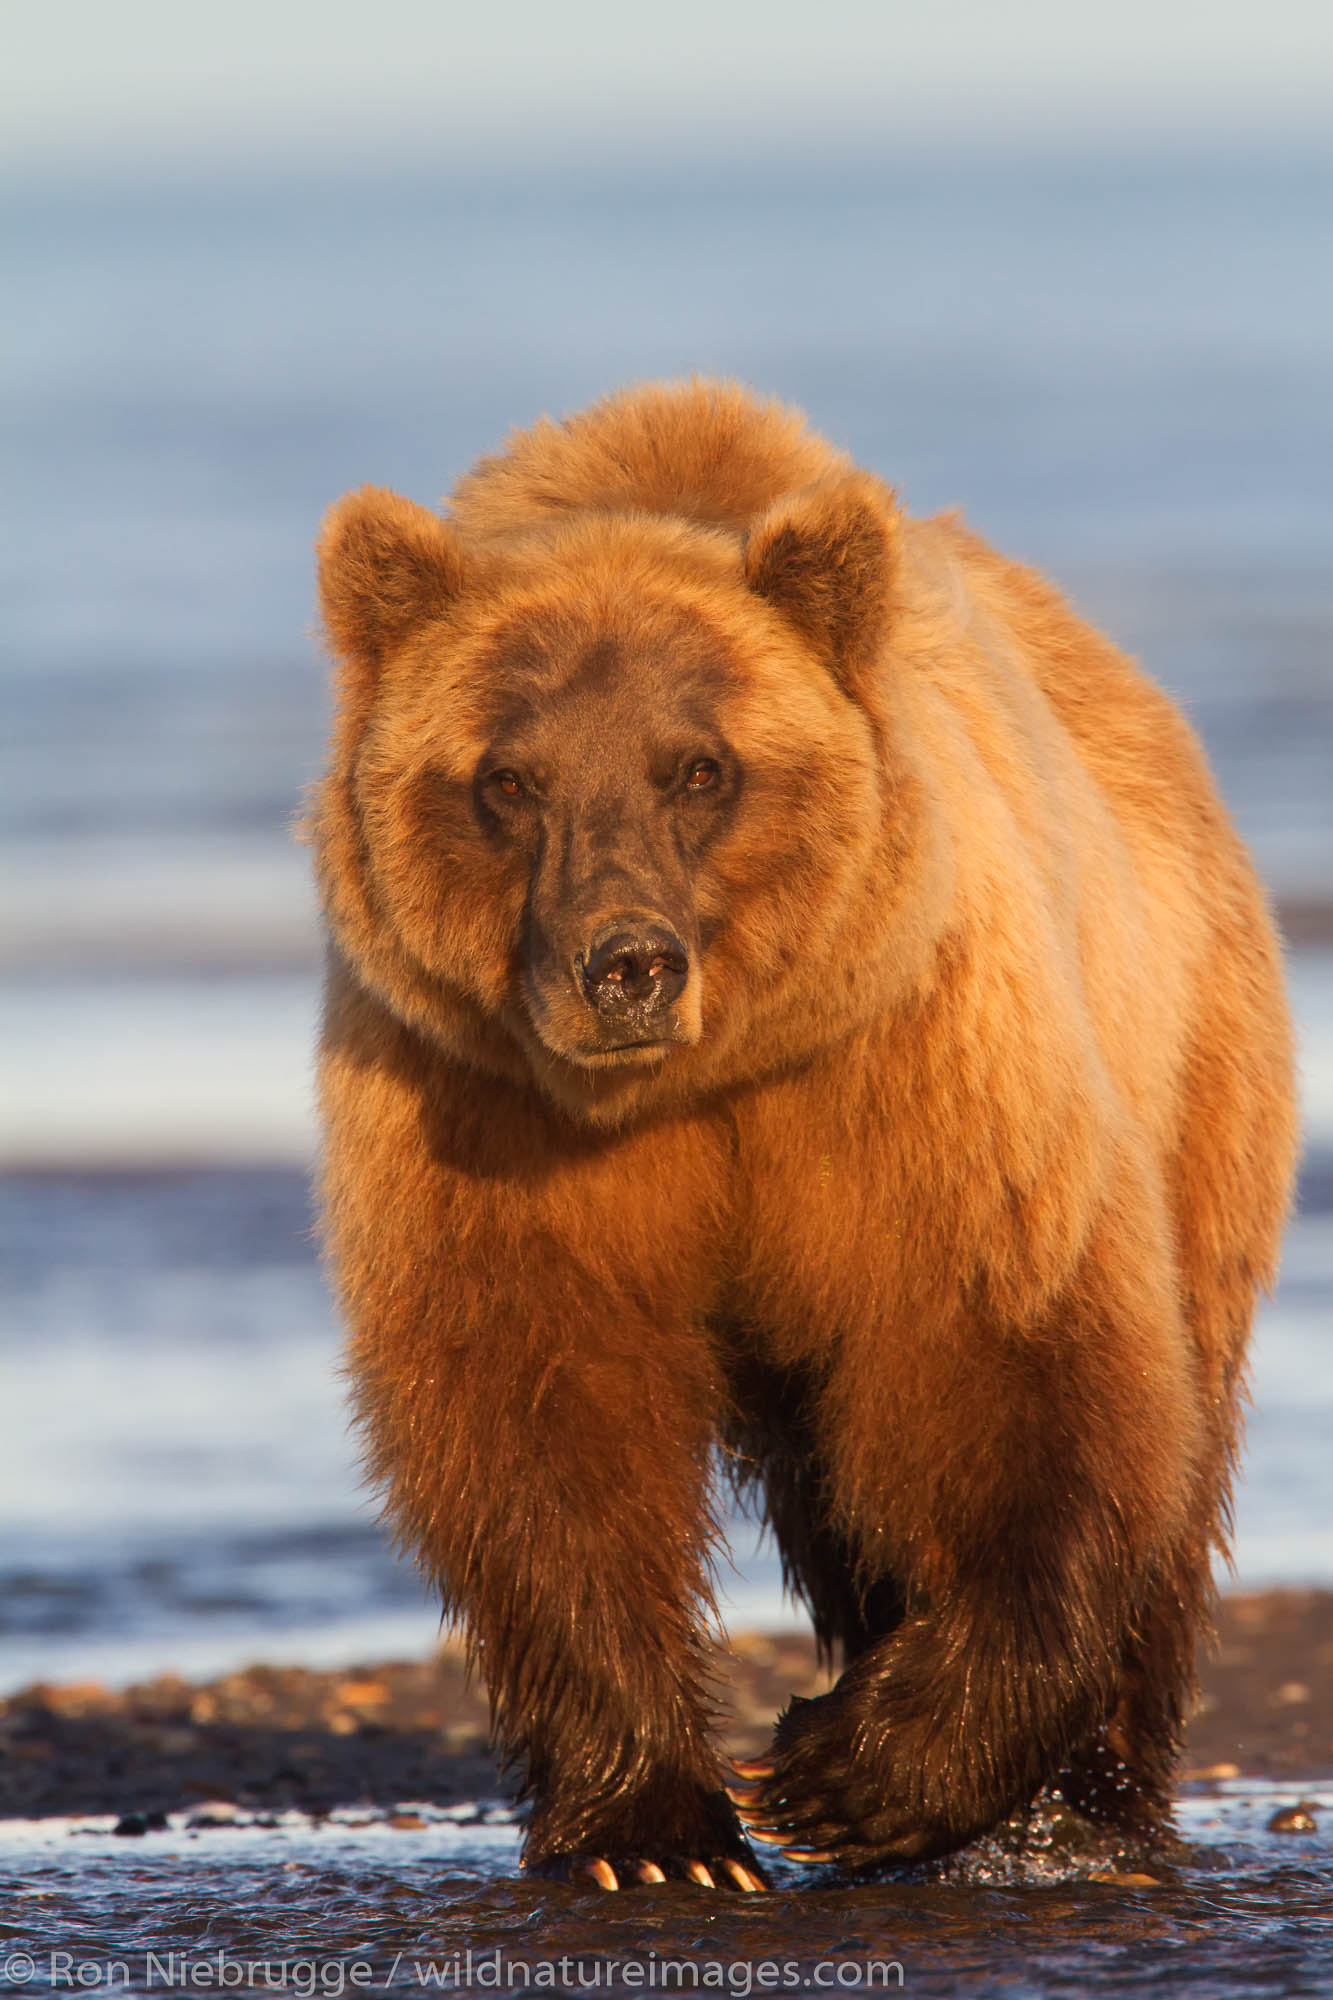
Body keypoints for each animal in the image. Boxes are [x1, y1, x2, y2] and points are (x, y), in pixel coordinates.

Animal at [308, 378, 1288, 1888]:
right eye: (510, 778)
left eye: (697, 767)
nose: (624, 964)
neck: (703, 1080)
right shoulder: (482, 1107)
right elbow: (537, 1404)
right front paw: (654, 1832)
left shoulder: (908, 1066)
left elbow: (1004, 1345)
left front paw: (858, 1775)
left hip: (1189, 1049)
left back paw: (1088, 1806)